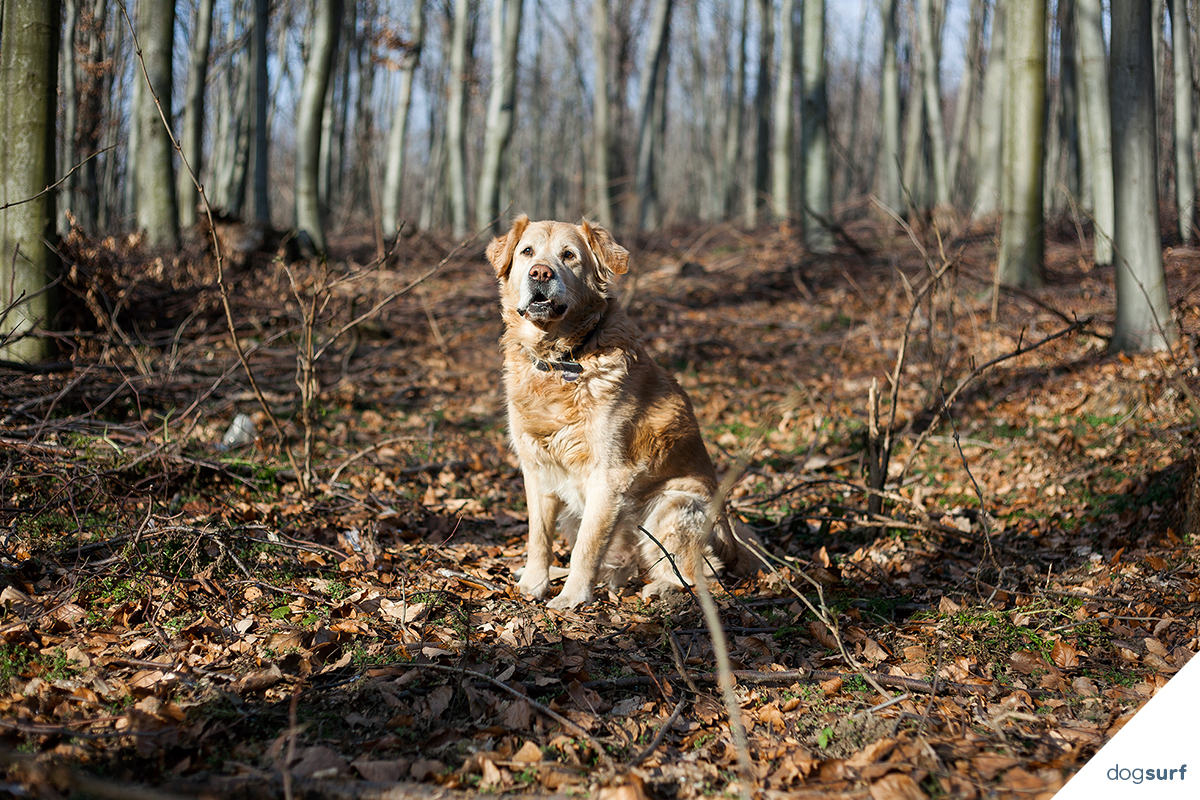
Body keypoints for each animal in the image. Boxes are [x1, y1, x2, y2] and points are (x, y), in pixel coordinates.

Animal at [488, 215, 760, 610]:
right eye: (527, 252)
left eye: (569, 255)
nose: (540, 273)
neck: (562, 360)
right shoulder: (536, 468)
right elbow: (538, 538)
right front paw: (533, 585)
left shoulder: (609, 475)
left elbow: (586, 547)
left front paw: (571, 598)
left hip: (672, 505)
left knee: (701, 573)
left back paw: (660, 588)